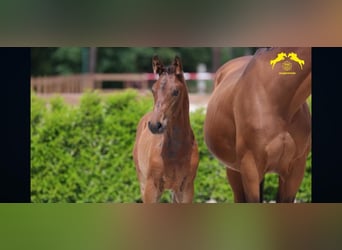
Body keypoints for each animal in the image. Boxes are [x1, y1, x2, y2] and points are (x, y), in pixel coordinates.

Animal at [132, 55, 199, 203]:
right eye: (153, 90)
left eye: (175, 91)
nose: (155, 125)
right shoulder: (151, 188)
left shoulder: (186, 189)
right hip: (143, 183)